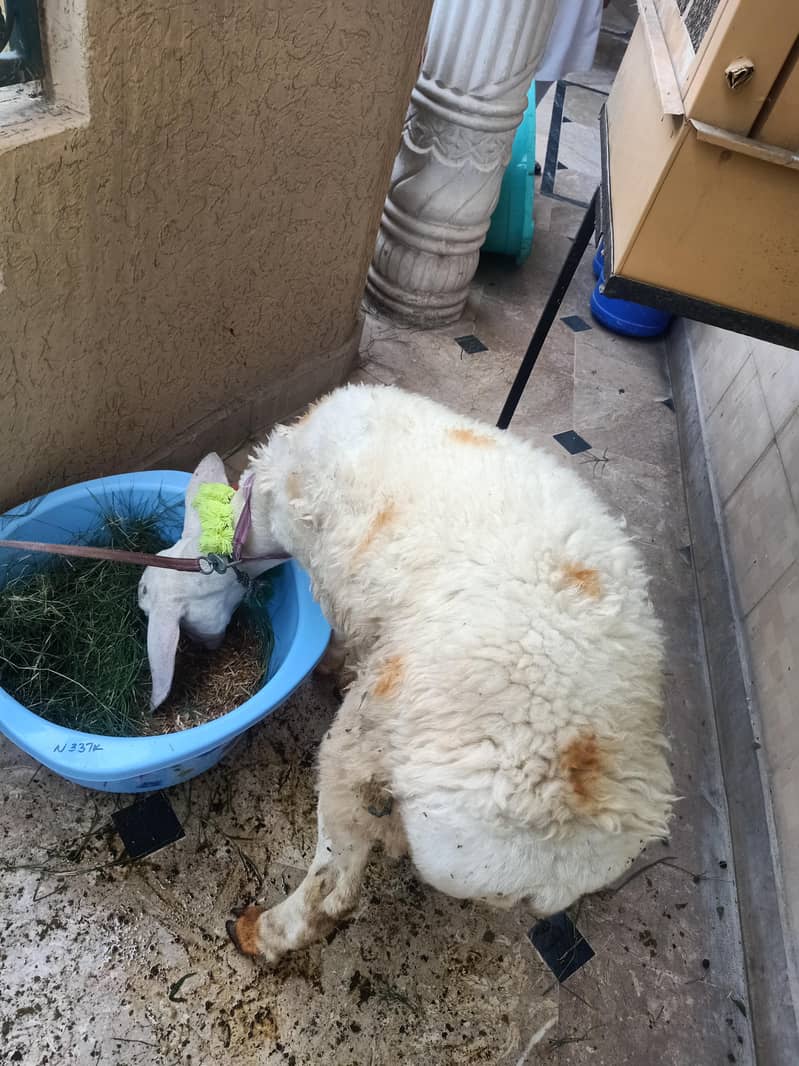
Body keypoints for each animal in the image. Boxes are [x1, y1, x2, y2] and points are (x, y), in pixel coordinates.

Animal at [139, 383, 674, 964]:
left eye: (147, 601)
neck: (253, 519)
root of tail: (567, 845)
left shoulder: (335, 571)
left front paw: (332, 664)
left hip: (362, 746)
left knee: (333, 886)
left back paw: (261, 930)